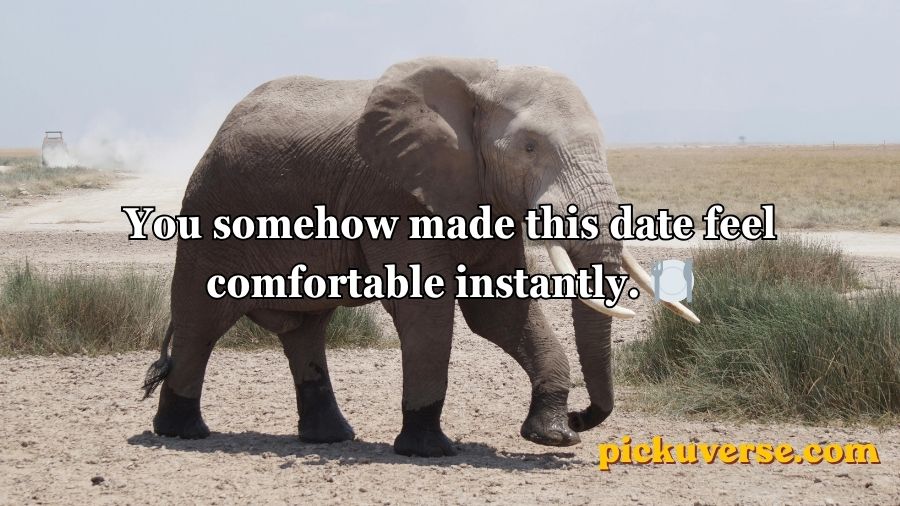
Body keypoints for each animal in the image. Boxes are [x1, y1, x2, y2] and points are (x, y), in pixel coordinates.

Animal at [142, 57, 697, 457]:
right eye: (530, 147)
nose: (584, 416)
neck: (482, 82)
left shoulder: (478, 193)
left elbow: (499, 311)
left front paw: (553, 437)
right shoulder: (394, 194)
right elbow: (426, 309)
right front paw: (429, 449)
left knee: (306, 329)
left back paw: (331, 438)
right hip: (211, 211)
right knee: (200, 323)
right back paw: (181, 433)